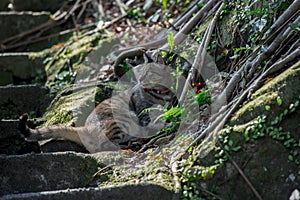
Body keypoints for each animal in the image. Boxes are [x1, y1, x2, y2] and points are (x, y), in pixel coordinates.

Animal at [19, 63, 178, 153]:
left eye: (148, 73)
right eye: (140, 74)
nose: (140, 80)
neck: (160, 93)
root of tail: (85, 127)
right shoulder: (143, 112)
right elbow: (153, 121)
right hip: (123, 118)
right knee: (105, 144)